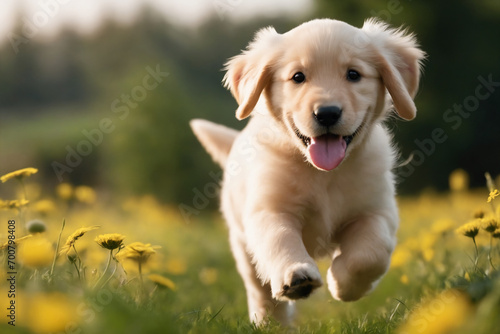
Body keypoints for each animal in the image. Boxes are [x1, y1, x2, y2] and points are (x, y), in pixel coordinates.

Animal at [189, 17, 424, 324]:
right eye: (298, 77)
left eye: (353, 74)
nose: (327, 113)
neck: (324, 173)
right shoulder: (269, 209)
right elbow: (280, 239)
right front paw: (296, 275)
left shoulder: (377, 210)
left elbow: (371, 253)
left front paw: (343, 283)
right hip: (241, 244)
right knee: (261, 291)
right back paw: (271, 323)